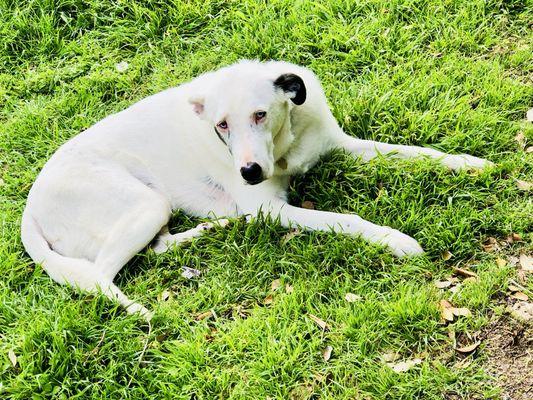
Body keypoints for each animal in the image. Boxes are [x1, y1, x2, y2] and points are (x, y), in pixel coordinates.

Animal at [21, 61, 490, 318]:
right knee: (100, 274)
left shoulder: (342, 145)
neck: (287, 146)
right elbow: (345, 219)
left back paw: (214, 229)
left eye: (260, 114)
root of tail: (30, 209)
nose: (247, 172)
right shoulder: (273, 208)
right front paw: (397, 240)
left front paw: (470, 163)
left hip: (154, 208)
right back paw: (140, 310)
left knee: (159, 247)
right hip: (144, 203)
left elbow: (413, 152)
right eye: (221, 125)